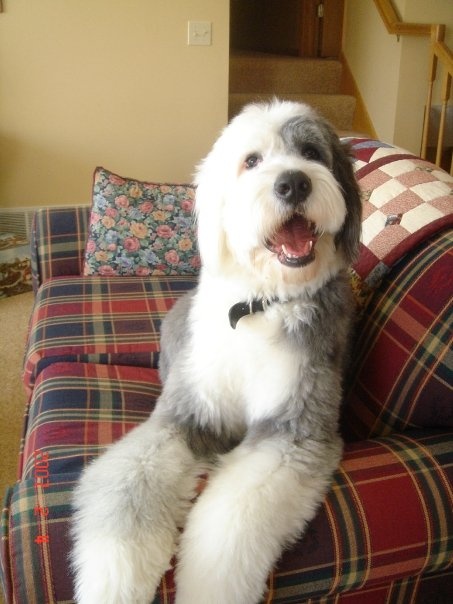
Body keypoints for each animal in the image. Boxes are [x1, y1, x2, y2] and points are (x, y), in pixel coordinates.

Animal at [71, 100, 360, 604]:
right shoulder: (185, 414)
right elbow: (128, 489)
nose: (294, 183)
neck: (259, 305)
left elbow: (231, 524)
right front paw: (114, 581)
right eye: (252, 161)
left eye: (311, 152)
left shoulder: (293, 431)